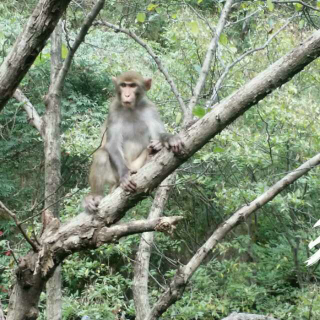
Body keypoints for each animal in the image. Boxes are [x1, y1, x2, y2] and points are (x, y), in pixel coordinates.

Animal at [82, 71, 182, 214]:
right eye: (123, 85)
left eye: (133, 85)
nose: (127, 95)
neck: (131, 108)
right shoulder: (114, 110)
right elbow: (112, 143)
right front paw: (125, 175)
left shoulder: (150, 108)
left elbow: (158, 133)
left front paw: (170, 138)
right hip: (114, 176)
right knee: (101, 155)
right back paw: (95, 196)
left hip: (138, 165)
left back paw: (152, 152)